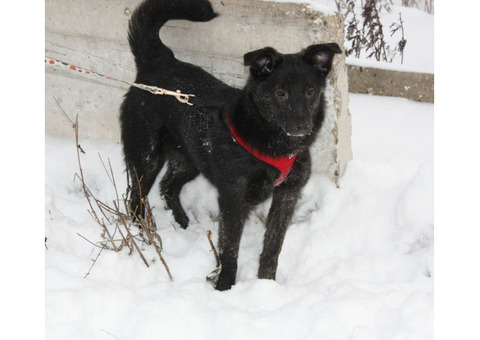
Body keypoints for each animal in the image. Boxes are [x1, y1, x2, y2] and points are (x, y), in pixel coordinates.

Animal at [122, 0, 344, 290]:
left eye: (309, 91)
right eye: (280, 92)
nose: (301, 126)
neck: (272, 142)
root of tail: (158, 61)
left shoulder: (287, 194)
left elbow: (273, 247)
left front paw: (267, 285)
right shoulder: (234, 198)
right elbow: (230, 249)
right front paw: (224, 286)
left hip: (189, 157)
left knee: (168, 185)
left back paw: (181, 222)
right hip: (146, 155)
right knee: (135, 199)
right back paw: (145, 237)